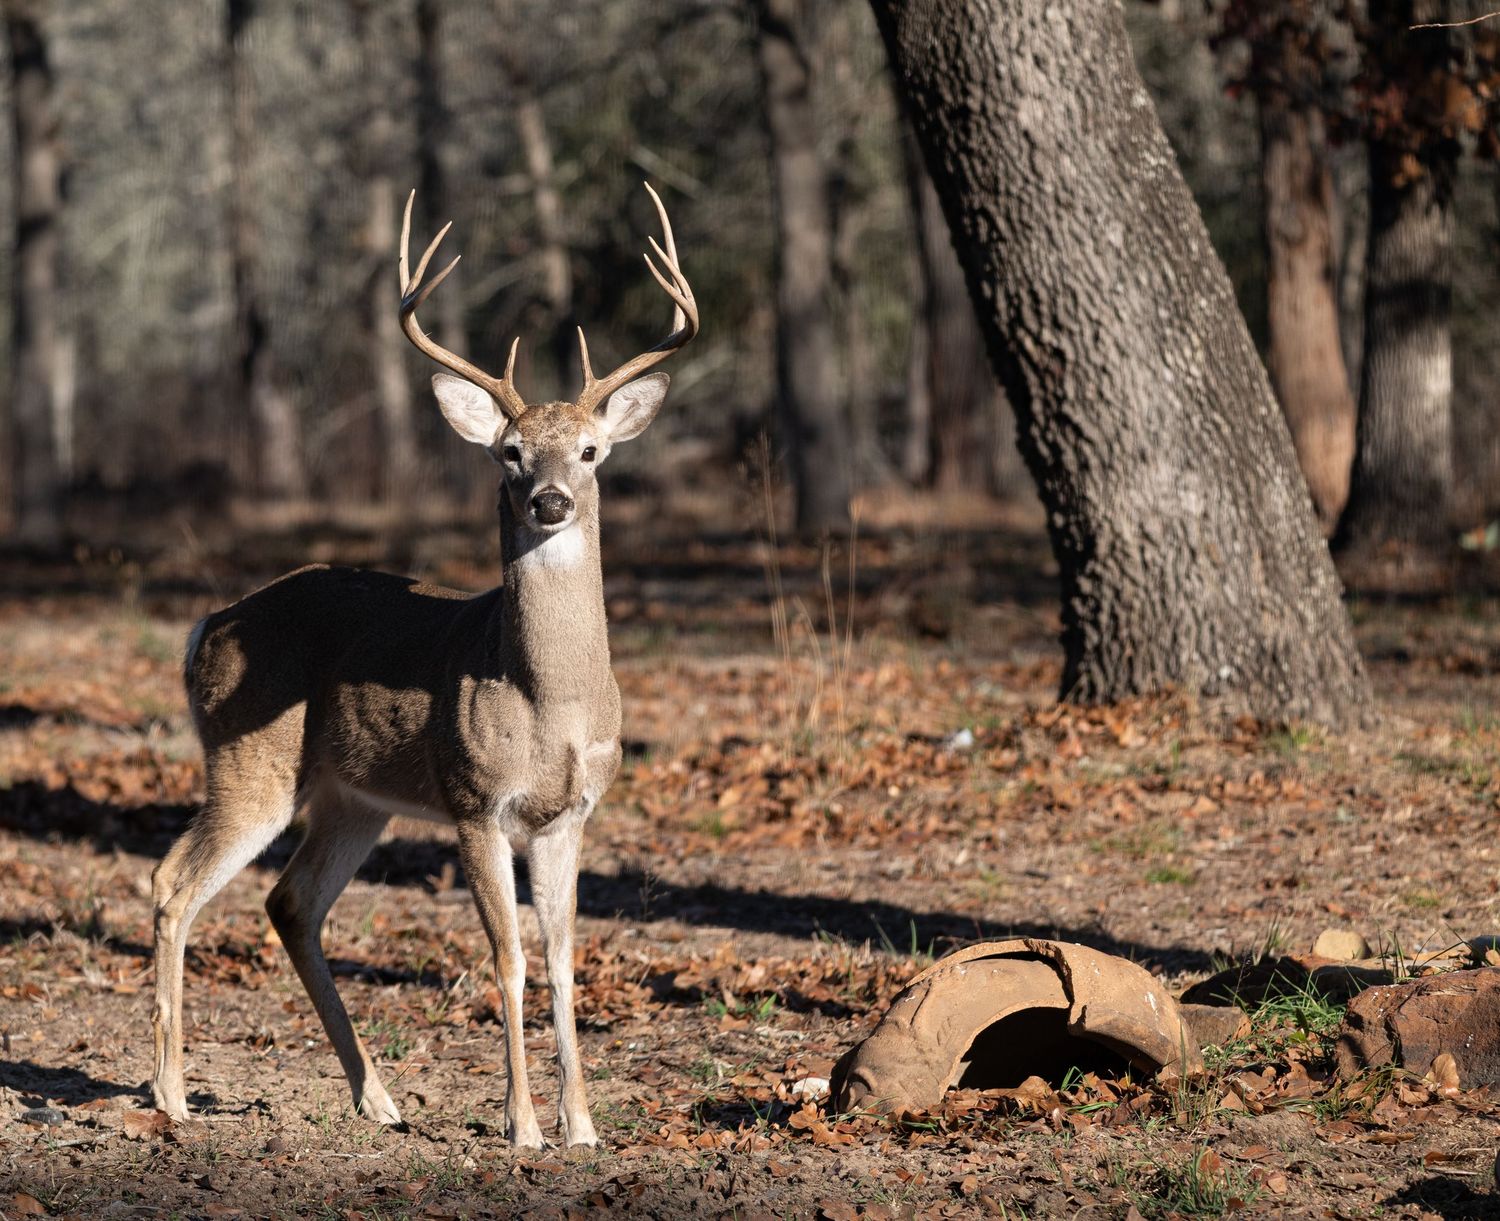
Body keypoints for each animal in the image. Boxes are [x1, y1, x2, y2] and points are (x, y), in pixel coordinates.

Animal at [150, 183, 697, 1150]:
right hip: (248, 759)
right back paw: (172, 1095)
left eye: (591, 450)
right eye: (509, 452)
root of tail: (206, 626)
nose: (549, 500)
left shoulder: (570, 815)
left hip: (353, 795)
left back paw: (379, 1097)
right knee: (173, 883)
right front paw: (523, 1125)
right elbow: (508, 958)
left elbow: (563, 958)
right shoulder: (475, 801)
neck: (552, 704)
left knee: (291, 900)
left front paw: (584, 1125)